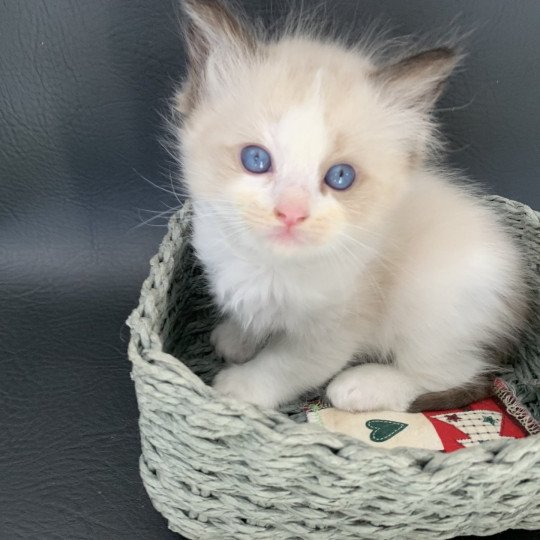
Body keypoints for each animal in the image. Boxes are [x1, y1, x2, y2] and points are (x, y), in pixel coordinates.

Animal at [176, 0, 528, 412]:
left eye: (340, 176)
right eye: (256, 159)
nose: (291, 212)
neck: (270, 267)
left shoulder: (335, 329)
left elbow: (285, 363)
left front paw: (241, 387)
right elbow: (255, 317)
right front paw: (237, 336)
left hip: (431, 307)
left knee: (450, 371)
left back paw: (362, 386)